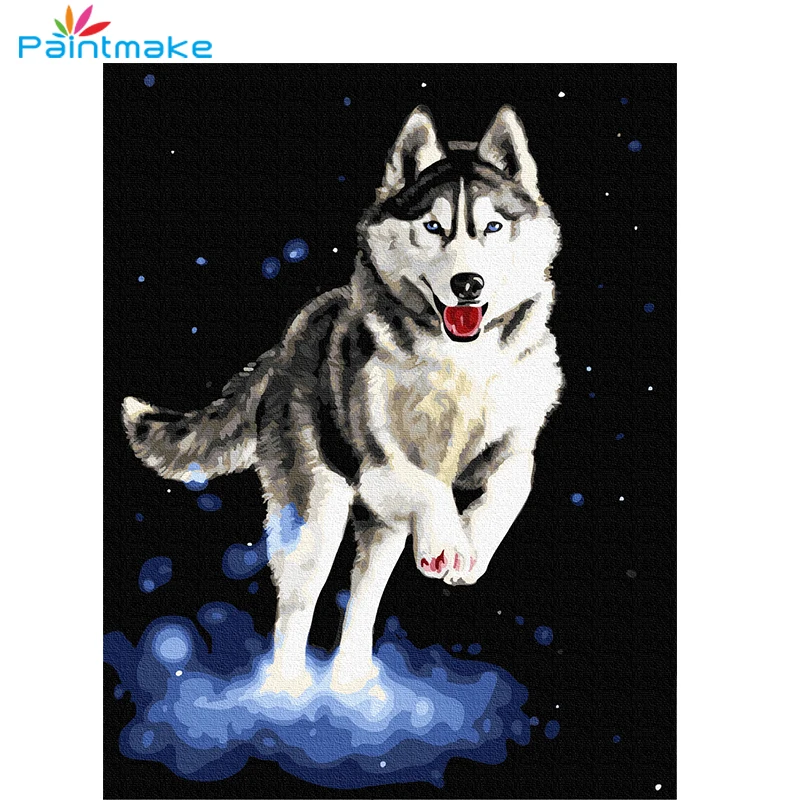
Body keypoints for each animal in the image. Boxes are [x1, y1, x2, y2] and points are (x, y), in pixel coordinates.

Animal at [122, 105, 563, 696]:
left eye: (493, 227)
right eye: (433, 227)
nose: (467, 284)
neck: (457, 363)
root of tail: (289, 341)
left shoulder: (512, 447)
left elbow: (514, 487)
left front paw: (469, 545)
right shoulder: (379, 465)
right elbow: (429, 487)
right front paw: (450, 539)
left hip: (380, 529)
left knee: (363, 599)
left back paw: (353, 685)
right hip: (318, 516)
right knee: (296, 609)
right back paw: (285, 695)